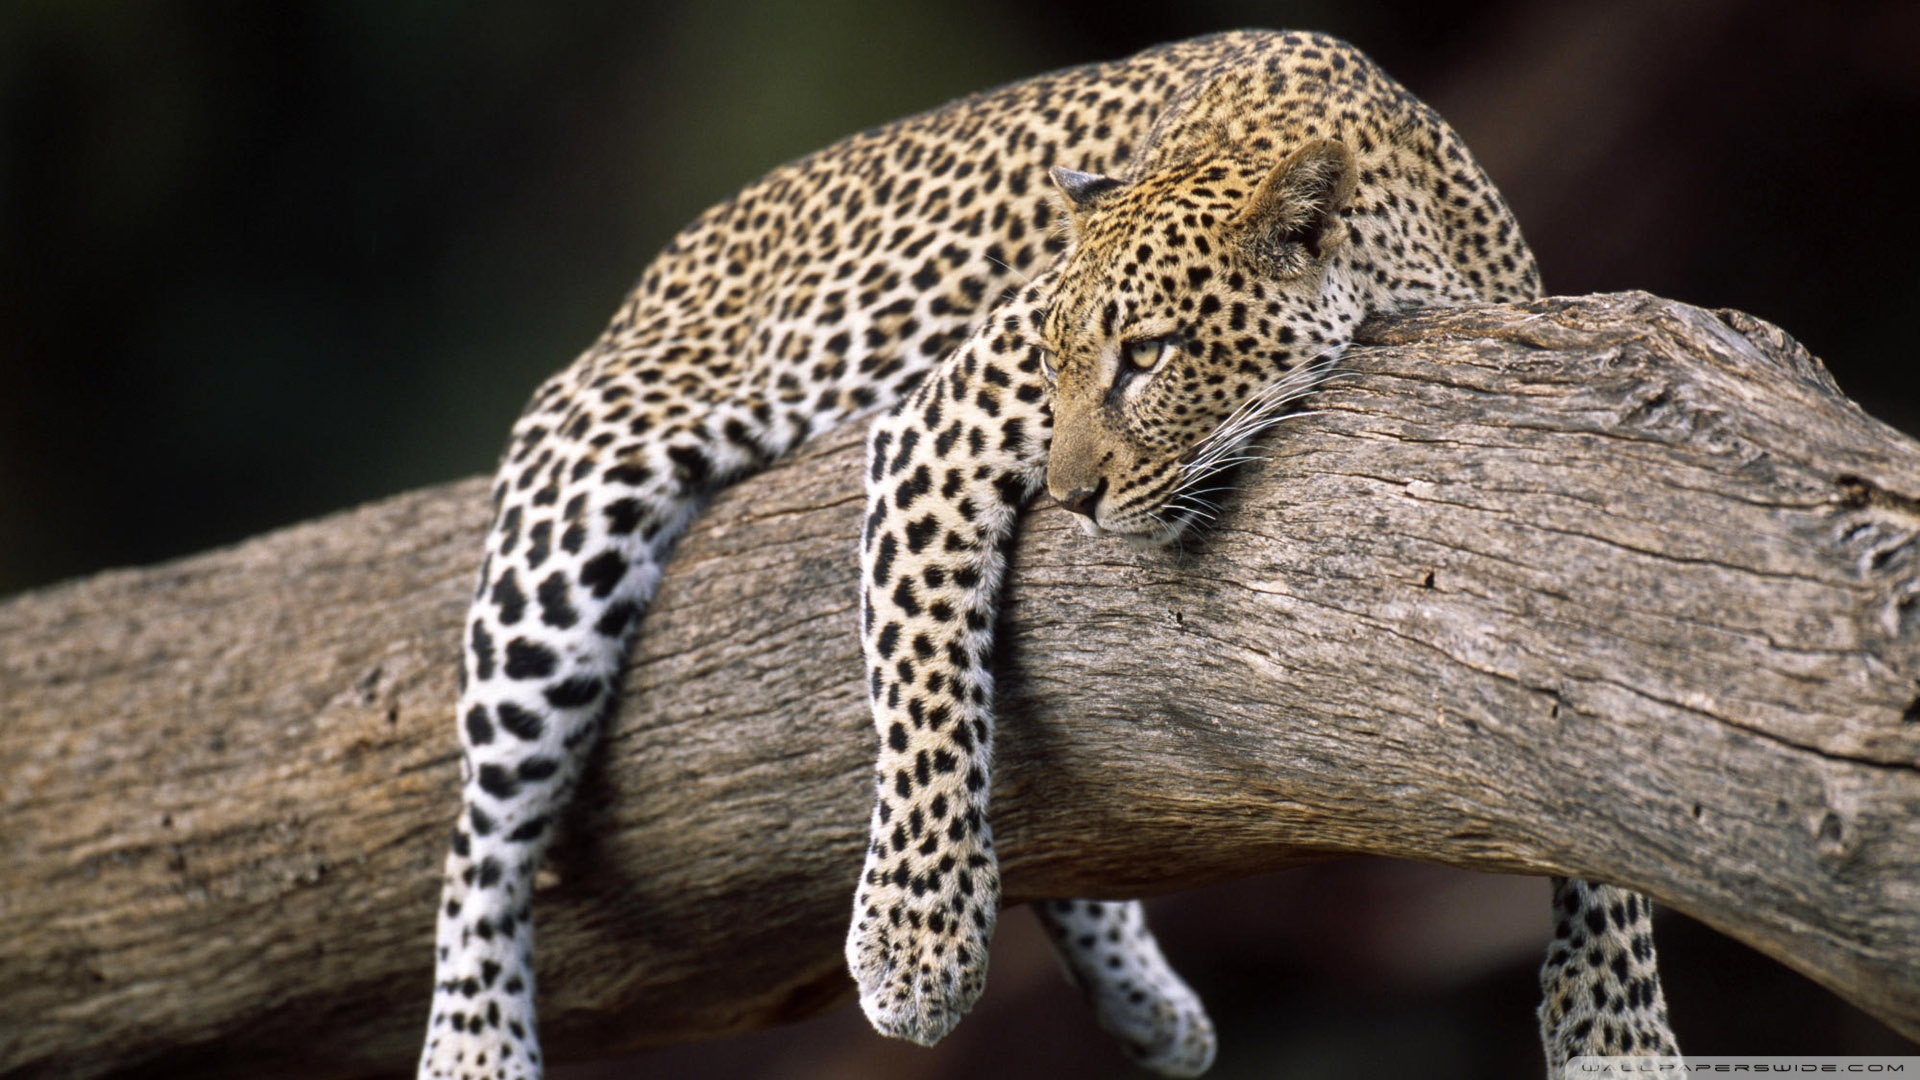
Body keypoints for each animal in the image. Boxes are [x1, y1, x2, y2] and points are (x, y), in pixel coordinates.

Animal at [419, 29, 1679, 1080]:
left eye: (1149, 355)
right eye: (1054, 358)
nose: (1073, 500)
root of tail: (662, 265)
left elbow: (1592, 777)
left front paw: (1618, 1028)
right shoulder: (936, 425)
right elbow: (927, 680)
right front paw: (915, 942)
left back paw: (1148, 1004)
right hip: (572, 521)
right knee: (484, 834)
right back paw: (472, 1048)